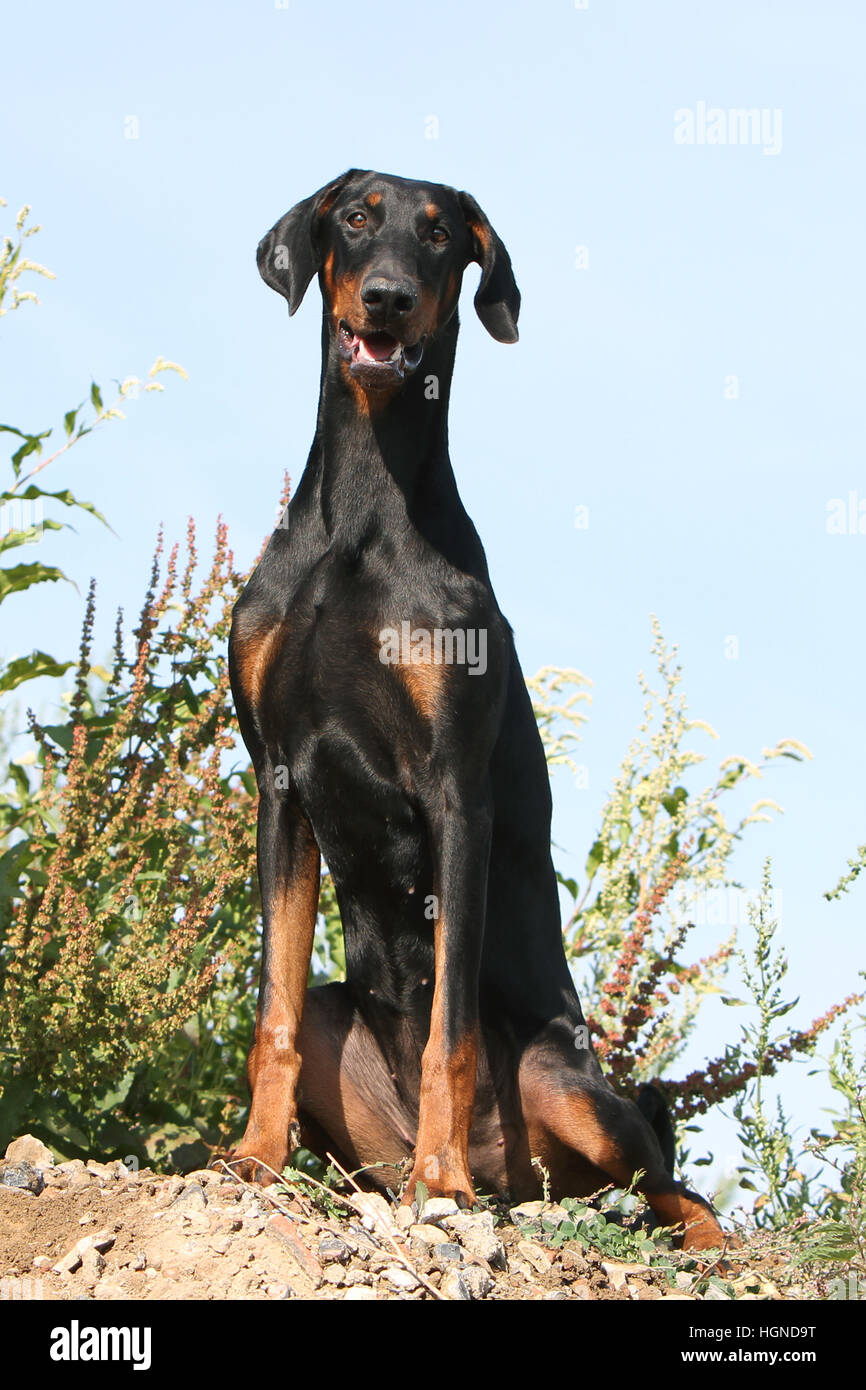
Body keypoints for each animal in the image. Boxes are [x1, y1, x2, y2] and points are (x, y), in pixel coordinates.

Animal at [223, 168, 722, 1256]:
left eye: (442, 236)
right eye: (355, 217)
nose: (388, 299)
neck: (361, 520)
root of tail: (517, 1181)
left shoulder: (455, 796)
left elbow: (448, 1028)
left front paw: (437, 1181)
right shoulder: (279, 778)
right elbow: (270, 1013)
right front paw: (249, 1157)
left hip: (560, 1078)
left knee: (673, 1189)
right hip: (342, 1029)